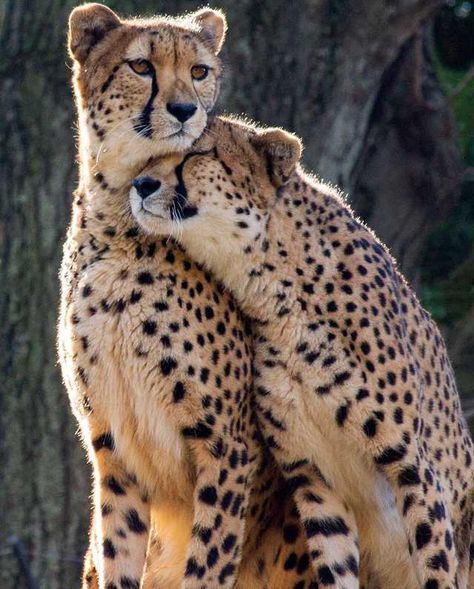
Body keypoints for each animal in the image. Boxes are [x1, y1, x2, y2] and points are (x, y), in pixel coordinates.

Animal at [62, 4, 314, 588]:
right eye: (141, 65)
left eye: (199, 71)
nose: (183, 109)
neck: (119, 232)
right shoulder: (112, 451)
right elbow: (119, 556)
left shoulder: (227, 447)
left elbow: (208, 561)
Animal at [129, 116, 474, 588]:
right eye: (152, 152)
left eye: (197, 152)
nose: (140, 184)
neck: (276, 292)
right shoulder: (314, 480)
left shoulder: (414, 468)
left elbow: (437, 567)